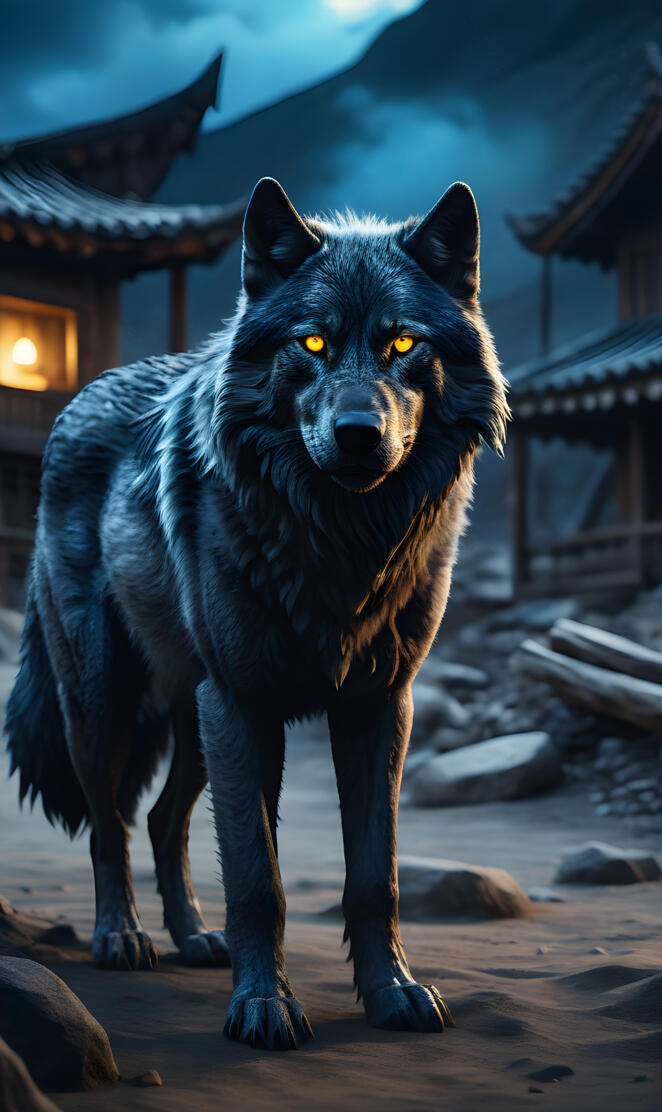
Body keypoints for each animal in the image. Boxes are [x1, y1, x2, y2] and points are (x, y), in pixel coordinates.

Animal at [5, 177, 507, 1049]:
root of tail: (84, 393)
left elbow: (375, 877)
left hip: (195, 718)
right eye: (312, 343)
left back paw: (194, 939)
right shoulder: (243, 704)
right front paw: (264, 1007)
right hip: (108, 708)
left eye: (402, 345)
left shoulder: (379, 704)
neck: (341, 543)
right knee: (111, 826)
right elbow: (257, 878)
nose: (358, 434)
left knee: (164, 823)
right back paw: (121, 937)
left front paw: (393, 994)